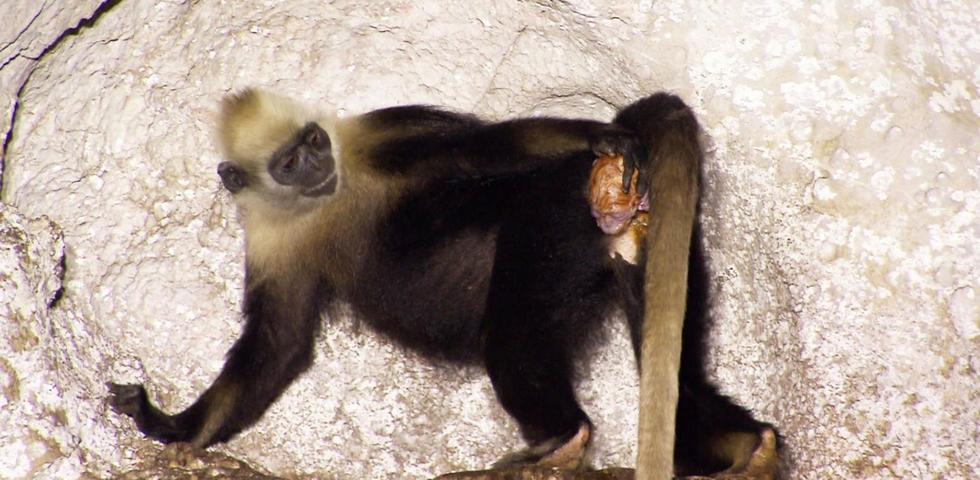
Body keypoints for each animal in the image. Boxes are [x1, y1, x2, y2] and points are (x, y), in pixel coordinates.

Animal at [109, 87, 780, 476]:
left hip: (550, 221)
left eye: (314, 140)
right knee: (683, 377)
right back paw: (746, 447)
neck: (323, 201)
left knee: (512, 339)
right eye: (290, 161)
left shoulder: (380, 134)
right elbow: (277, 343)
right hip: (647, 243)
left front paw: (597, 133)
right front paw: (175, 428)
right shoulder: (272, 238)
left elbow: (481, 145)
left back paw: (561, 439)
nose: (319, 162)